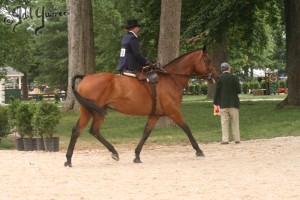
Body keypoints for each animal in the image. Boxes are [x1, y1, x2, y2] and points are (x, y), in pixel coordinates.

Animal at [64, 48, 218, 167]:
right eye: (208, 60)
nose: (215, 76)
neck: (171, 79)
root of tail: (85, 77)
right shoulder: (174, 112)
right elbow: (187, 129)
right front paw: (199, 150)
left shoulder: (155, 115)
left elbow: (146, 133)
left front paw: (137, 156)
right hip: (91, 112)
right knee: (84, 130)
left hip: (93, 112)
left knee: (86, 130)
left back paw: (73, 159)